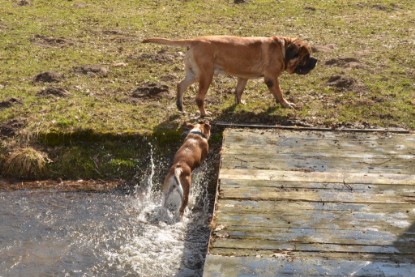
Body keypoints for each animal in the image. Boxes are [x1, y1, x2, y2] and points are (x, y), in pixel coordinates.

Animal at [143, 34, 318, 116]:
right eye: (306, 56)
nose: (316, 60)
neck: (283, 49)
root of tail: (195, 40)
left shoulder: (243, 77)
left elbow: (238, 91)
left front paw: (239, 103)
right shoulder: (271, 78)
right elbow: (279, 93)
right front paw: (286, 104)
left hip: (193, 74)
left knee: (180, 85)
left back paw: (180, 106)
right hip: (206, 75)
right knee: (199, 98)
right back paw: (204, 114)